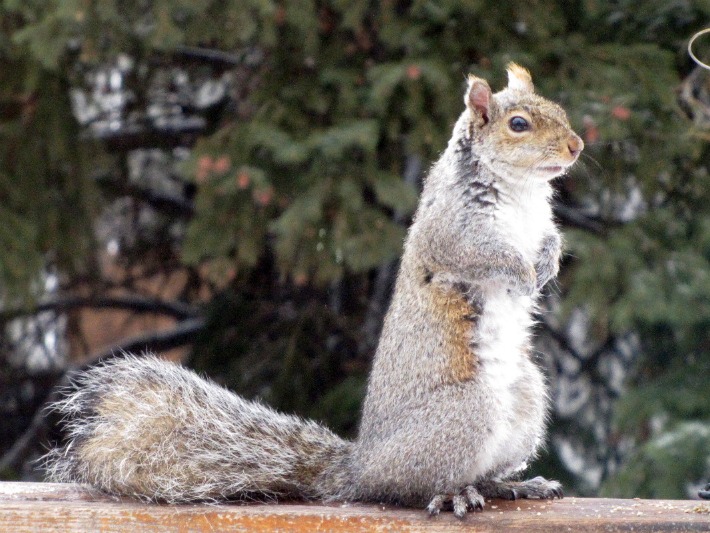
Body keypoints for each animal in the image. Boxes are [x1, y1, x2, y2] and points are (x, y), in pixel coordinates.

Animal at [43, 63, 583, 518]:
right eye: (518, 124)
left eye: (559, 110)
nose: (576, 146)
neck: (518, 192)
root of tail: (362, 467)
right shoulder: (452, 229)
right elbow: (478, 254)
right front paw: (523, 272)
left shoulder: (538, 223)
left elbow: (550, 239)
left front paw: (545, 263)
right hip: (465, 412)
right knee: (410, 489)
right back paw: (452, 493)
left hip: (526, 398)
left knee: (480, 472)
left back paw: (510, 484)